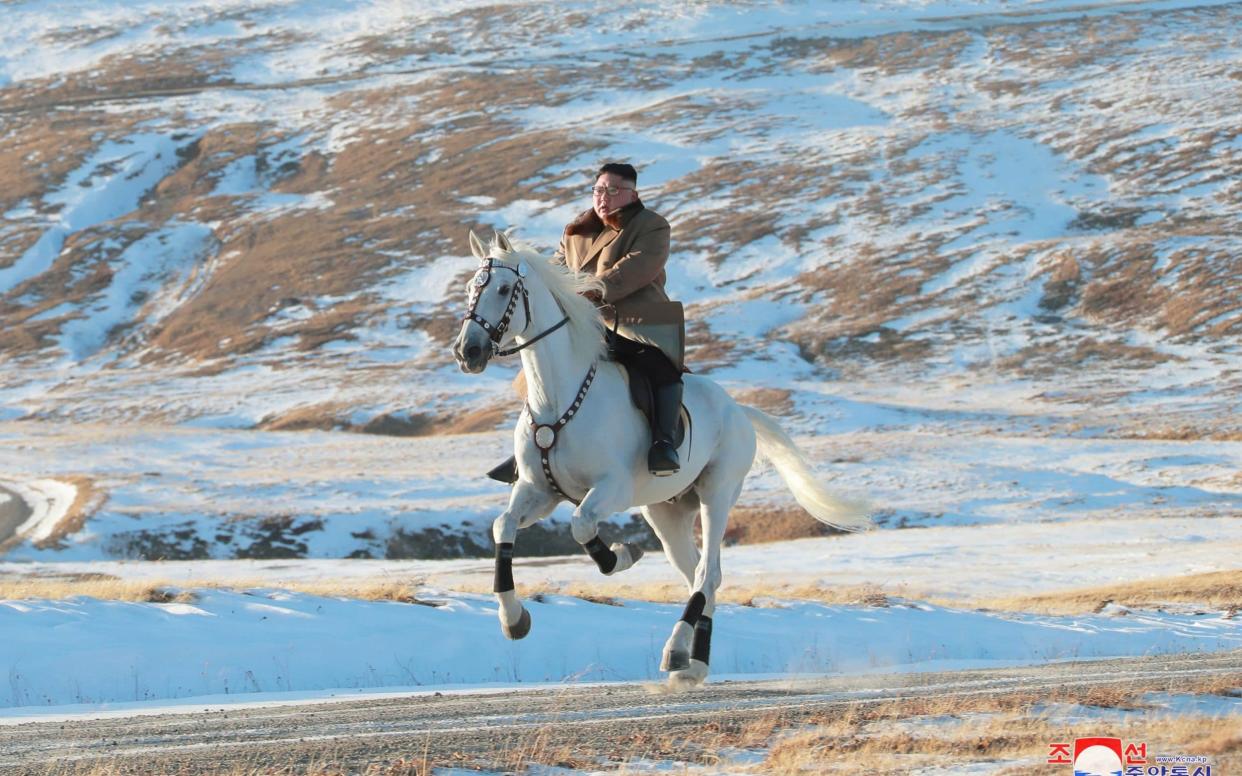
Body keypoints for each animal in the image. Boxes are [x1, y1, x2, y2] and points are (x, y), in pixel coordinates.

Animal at [452, 228, 869, 685]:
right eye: (471, 288)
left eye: (503, 289)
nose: (468, 351)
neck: (557, 397)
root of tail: (739, 410)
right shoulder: (538, 490)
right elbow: (503, 526)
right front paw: (513, 619)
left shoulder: (611, 489)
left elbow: (581, 526)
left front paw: (622, 556)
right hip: (666, 512)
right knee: (701, 576)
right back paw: (693, 662)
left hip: (716, 494)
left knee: (706, 573)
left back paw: (675, 651)